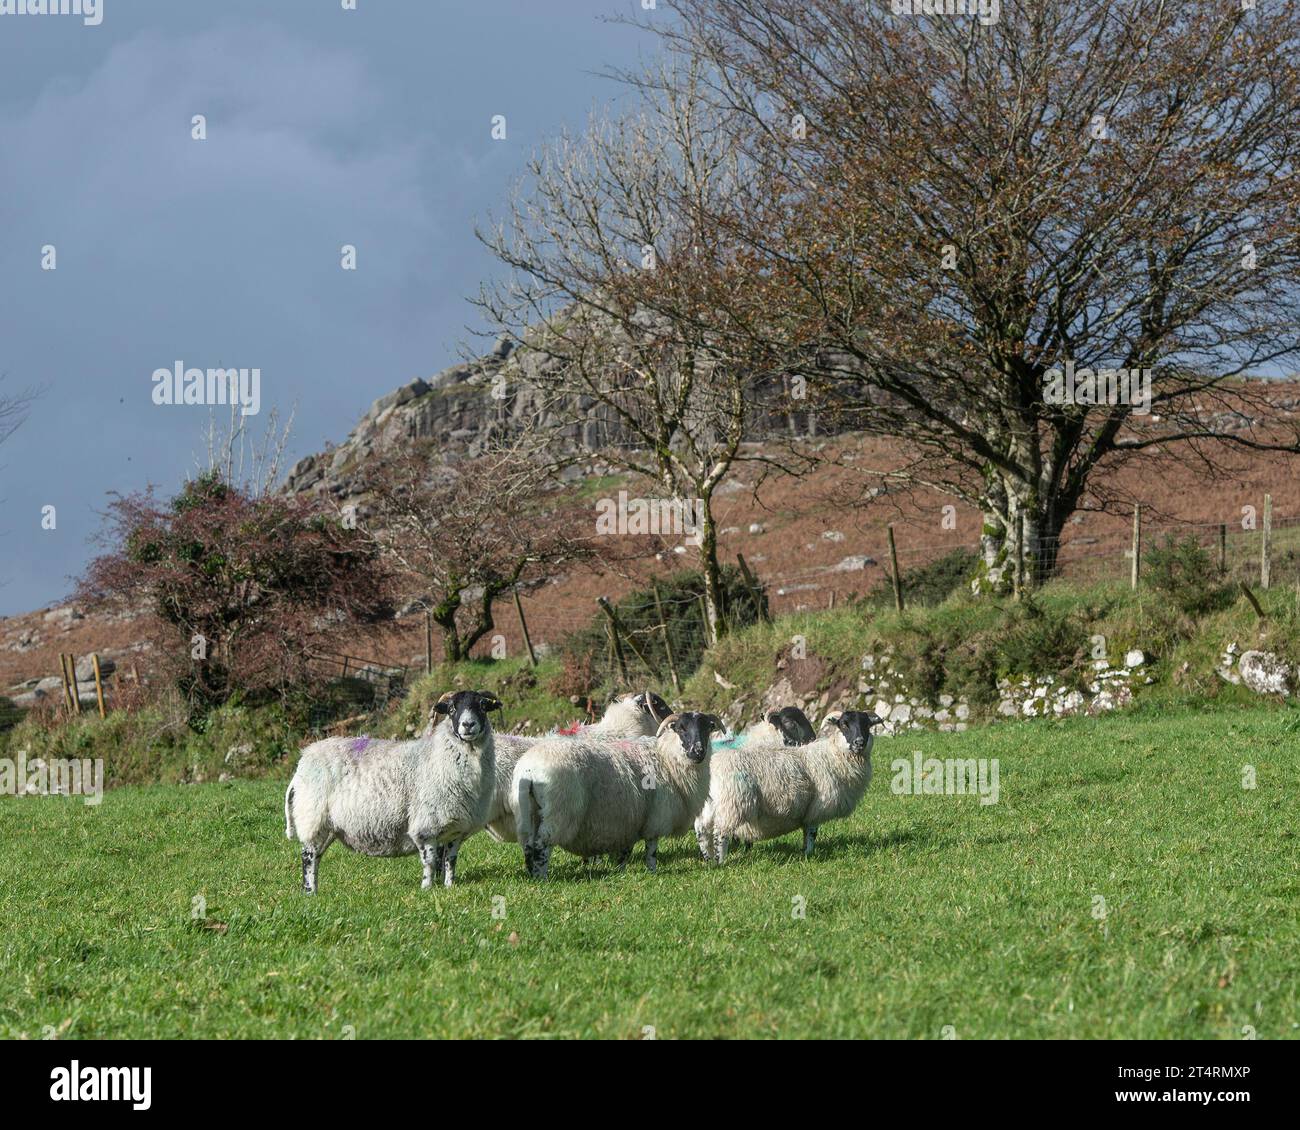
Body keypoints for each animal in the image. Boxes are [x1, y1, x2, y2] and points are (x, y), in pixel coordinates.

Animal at [286, 686, 501, 889]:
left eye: (482, 706)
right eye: (451, 709)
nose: (468, 725)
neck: (438, 755)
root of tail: (303, 760)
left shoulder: (456, 829)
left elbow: (451, 861)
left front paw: (449, 886)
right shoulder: (425, 825)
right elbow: (430, 861)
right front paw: (427, 887)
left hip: (328, 827)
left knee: (317, 856)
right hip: (312, 818)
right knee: (308, 856)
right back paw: (310, 891)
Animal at [514, 707, 722, 879]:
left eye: (707, 728)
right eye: (681, 728)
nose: (698, 751)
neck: (666, 757)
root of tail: (529, 769)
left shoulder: (629, 820)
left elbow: (625, 853)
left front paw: (620, 872)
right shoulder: (655, 818)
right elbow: (651, 850)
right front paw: (653, 872)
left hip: (528, 811)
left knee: (529, 845)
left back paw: (533, 875)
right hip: (558, 812)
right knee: (541, 845)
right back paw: (542, 877)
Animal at [696, 707, 889, 858]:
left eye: (867, 725)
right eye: (844, 724)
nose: (859, 742)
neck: (833, 754)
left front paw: (805, 853)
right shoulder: (816, 808)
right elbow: (811, 833)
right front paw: (809, 854)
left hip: (710, 805)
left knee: (702, 830)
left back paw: (709, 859)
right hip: (731, 804)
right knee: (721, 834)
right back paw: (721, 860)